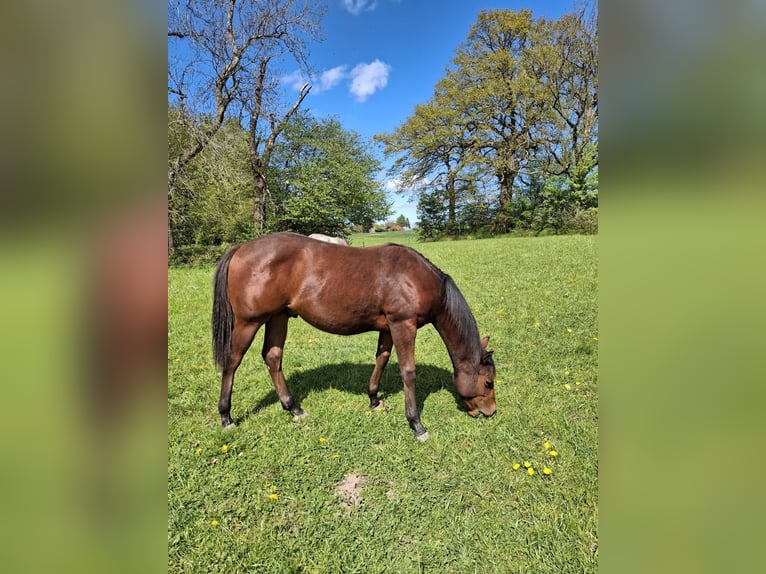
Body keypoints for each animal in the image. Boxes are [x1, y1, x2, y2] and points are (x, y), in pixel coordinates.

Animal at [212, 232, 496, 441]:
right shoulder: (403, 325)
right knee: (232, 361)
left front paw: (374, 400)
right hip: (249, 322)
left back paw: (294, 408)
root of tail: (241, 248)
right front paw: (416, 425)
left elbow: (382, 359)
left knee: (273, 357)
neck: (415, 278)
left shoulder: (388, 327)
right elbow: (408, 372)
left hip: (278, 317)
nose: (490, 412)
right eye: (489, 382)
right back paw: (226, 417)